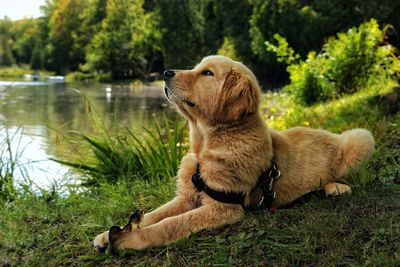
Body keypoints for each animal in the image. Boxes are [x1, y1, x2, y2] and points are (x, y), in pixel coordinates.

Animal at [94, 55, 376, 252]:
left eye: (207, 73)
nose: (165, 73)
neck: (206, 146)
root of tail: (333, 134)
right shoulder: (186, 196)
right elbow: (156, 214)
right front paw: (106, 235)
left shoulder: (223, 207)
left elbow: (170, 224)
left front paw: (131, 238)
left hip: (362, 137)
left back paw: (336, 188)